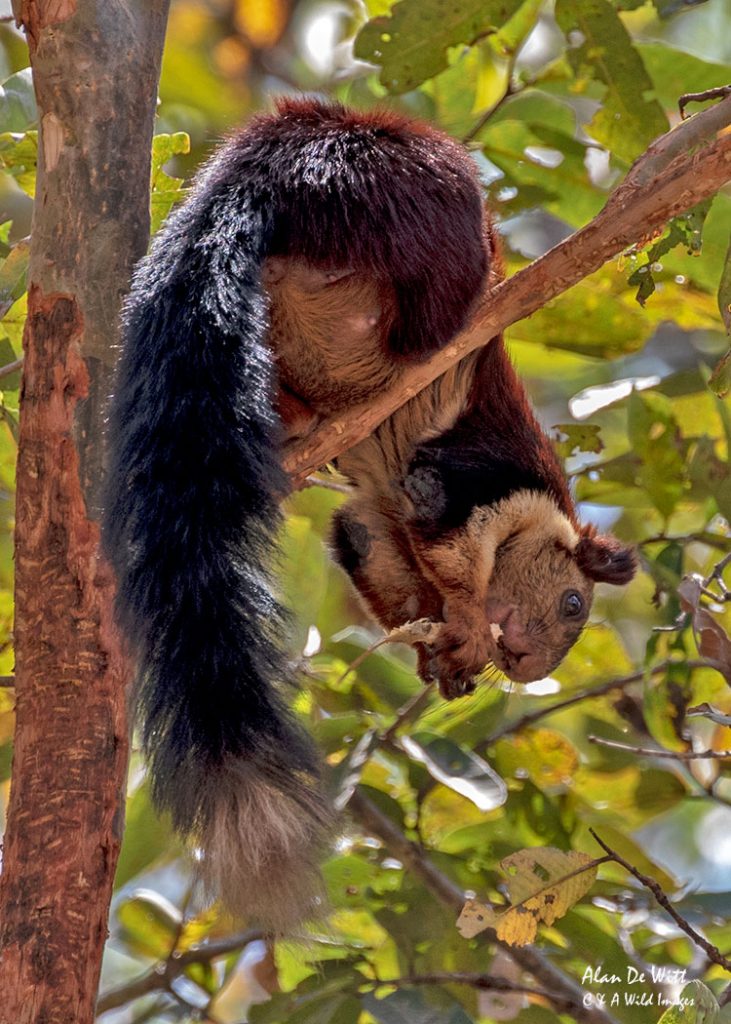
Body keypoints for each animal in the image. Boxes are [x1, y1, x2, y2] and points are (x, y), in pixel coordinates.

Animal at [103, 98, 636, 932]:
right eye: (573, 605)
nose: (524, 663)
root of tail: (274, 169)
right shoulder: (480, 481)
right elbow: (446, 535)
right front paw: (464, 627)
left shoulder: (378, 523)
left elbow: (373, 551)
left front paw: (444, 658)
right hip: (421, 228)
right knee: (434, 306)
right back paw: (463, 311)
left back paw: (291, 422)